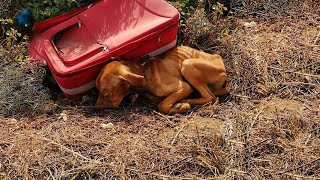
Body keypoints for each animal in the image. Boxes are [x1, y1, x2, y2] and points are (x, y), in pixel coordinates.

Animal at [95, 46, 230, 114]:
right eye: (97, 90)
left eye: (106, 93)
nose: (96, 107)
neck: (145, 72)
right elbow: (162, 102)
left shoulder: (184, 87)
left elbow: (162, 105)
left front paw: (181, 106)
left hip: (187, 65)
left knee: (211, 98)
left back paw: (187, 100)